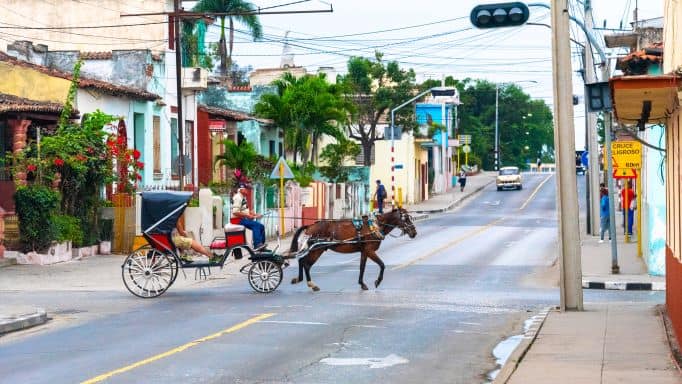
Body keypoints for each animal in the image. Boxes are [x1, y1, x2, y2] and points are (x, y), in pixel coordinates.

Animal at [286, 208, 414, 292]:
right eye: (406, 219)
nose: (414, 232)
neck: (375, 226)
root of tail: (310, 226)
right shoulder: (370, 251)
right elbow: (382, 265)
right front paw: (377, 281)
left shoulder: (364, 251)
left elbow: (362, 267)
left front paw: (362, 284)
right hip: (317, 250)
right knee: (306, 264)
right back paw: (311, 284)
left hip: (315, 249)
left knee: (302, 261)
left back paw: (299, 279)